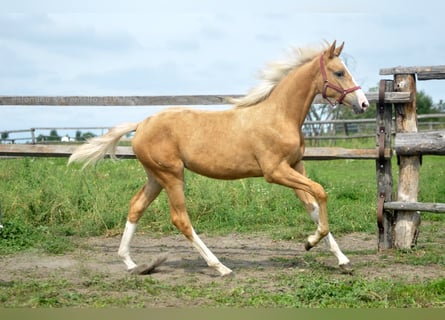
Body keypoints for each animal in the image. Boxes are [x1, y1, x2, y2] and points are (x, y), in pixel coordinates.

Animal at [68, 40, 368, 276]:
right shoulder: (275, 172)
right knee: (180, 219)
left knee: (136, 207)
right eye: (339, 72)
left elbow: (313, 207)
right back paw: (221, 267)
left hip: (155, 176)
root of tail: (141, 124)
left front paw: (341, 260)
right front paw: (309, 242)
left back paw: (131, 264)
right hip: (172, 175)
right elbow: (321, 192)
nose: (363, 103)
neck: (279, 115)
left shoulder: (296, 166)